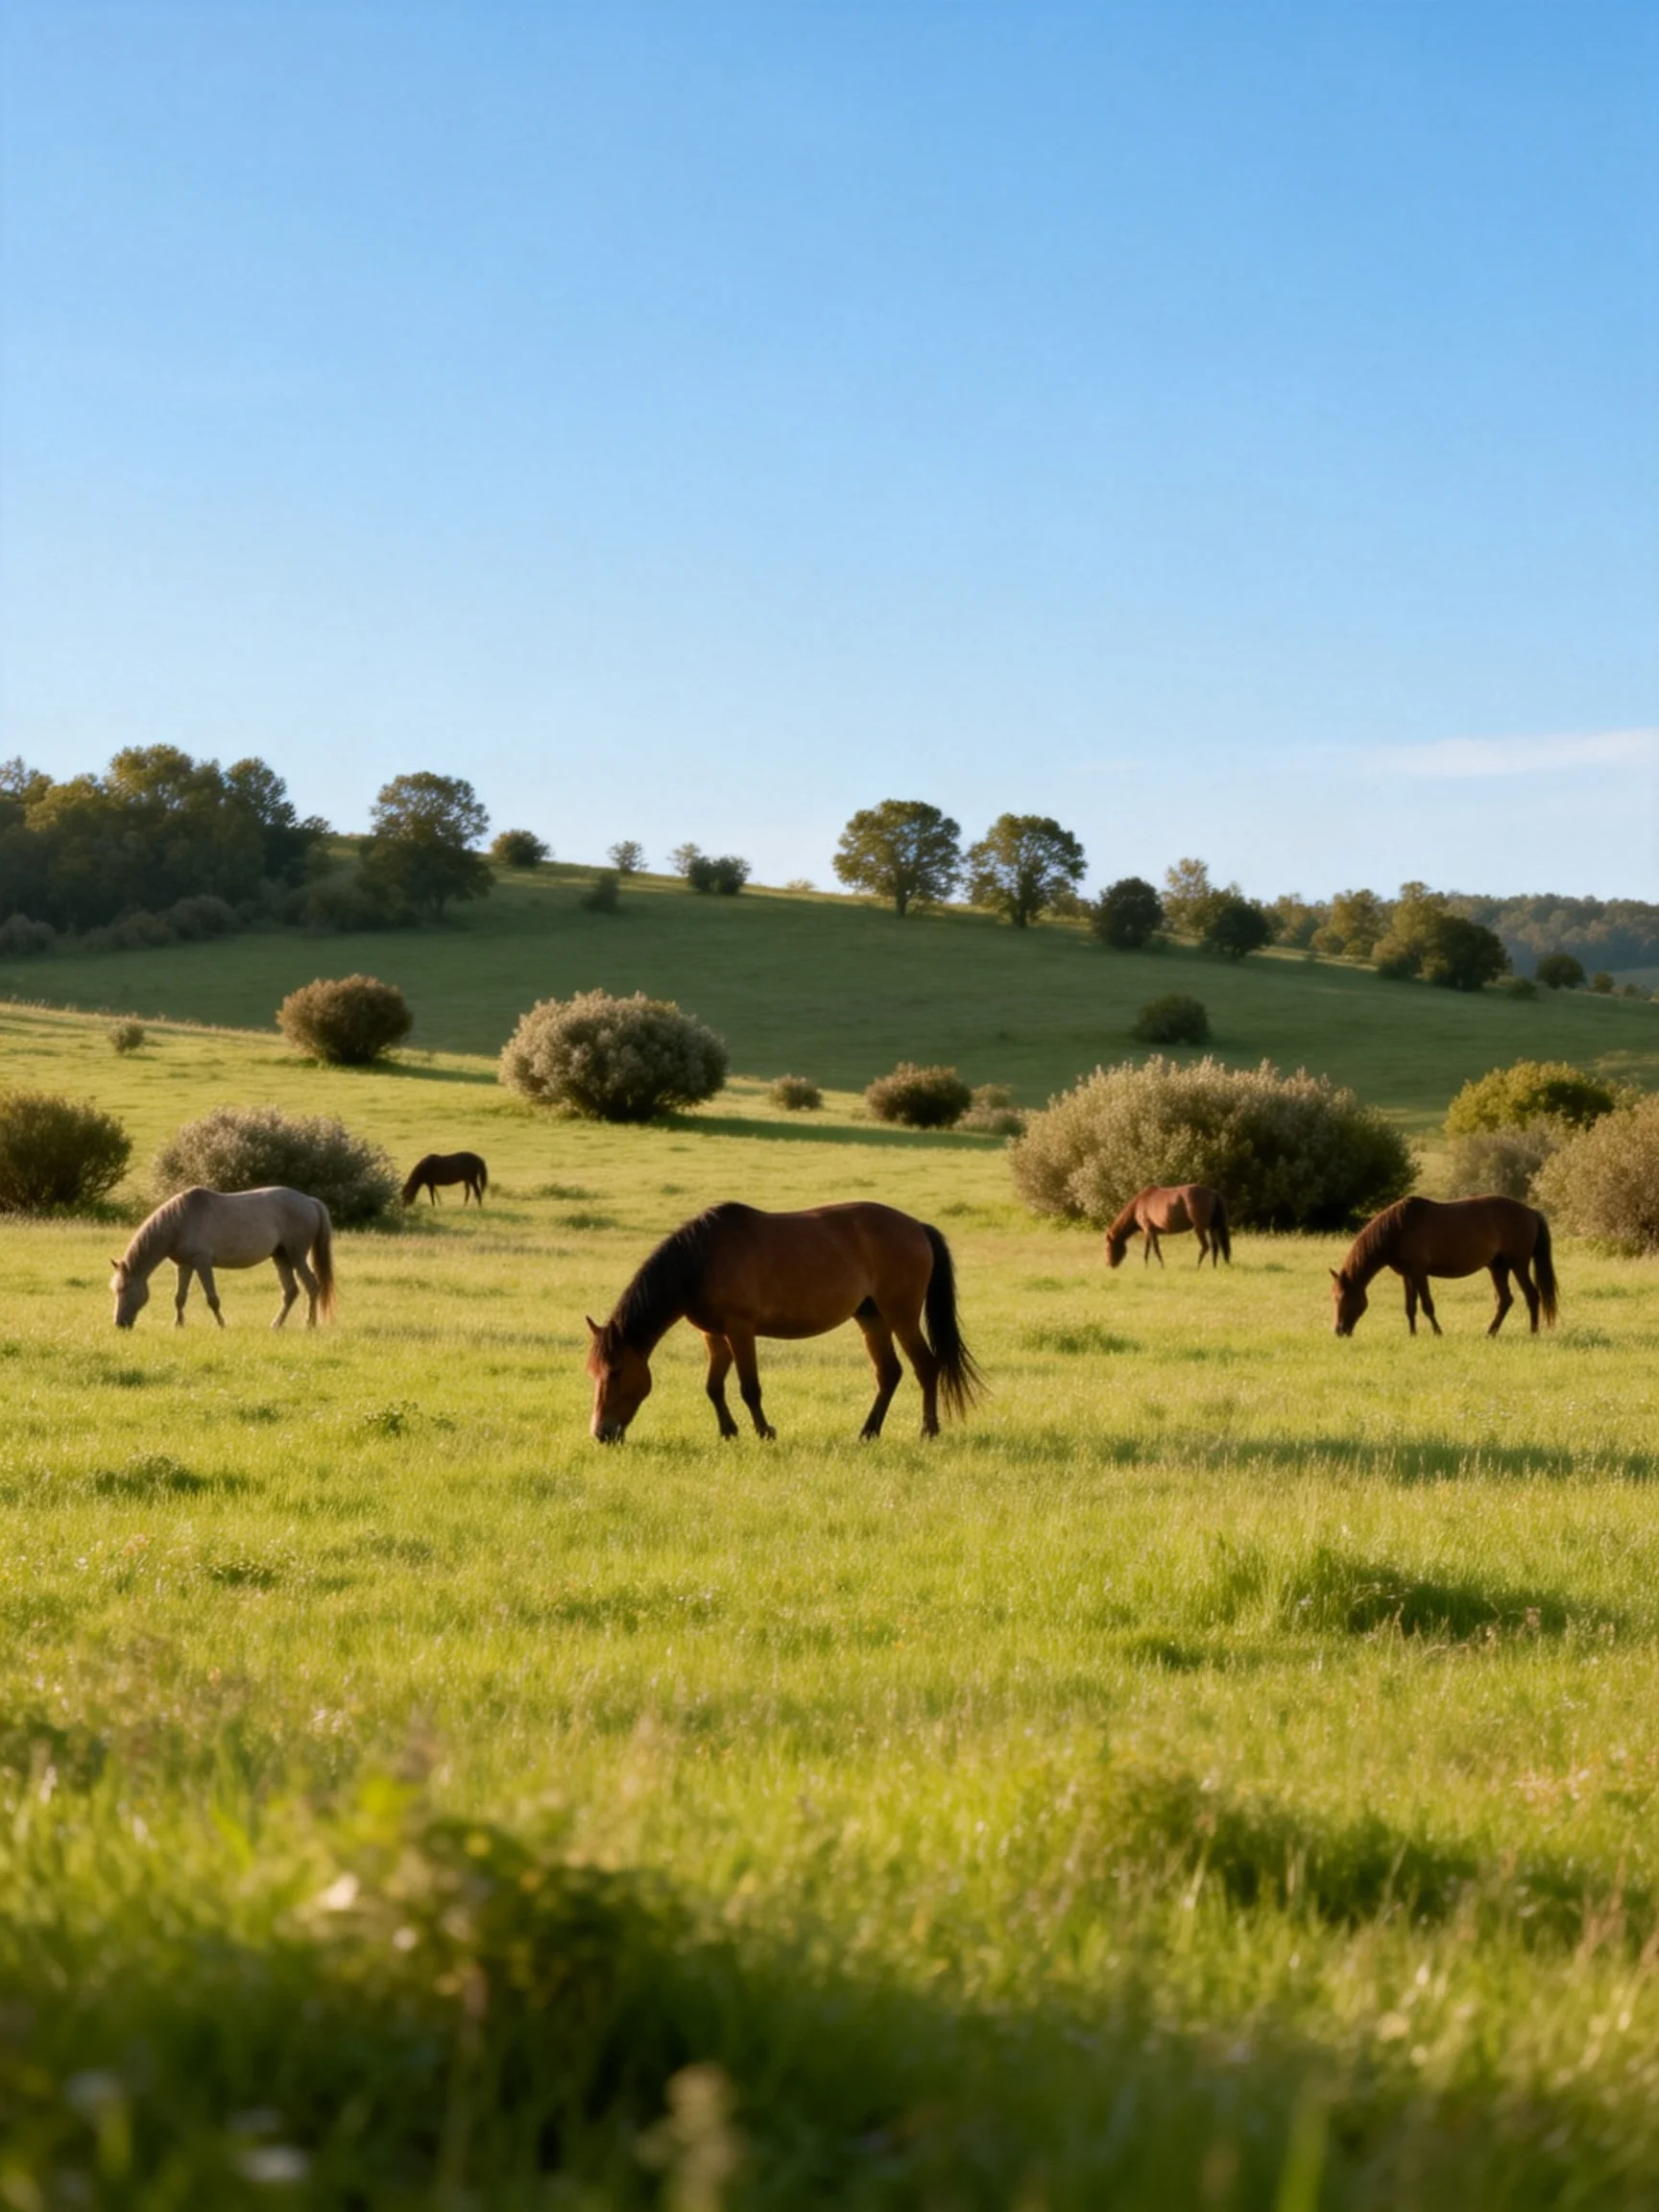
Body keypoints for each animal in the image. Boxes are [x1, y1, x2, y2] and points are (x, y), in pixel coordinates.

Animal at [111, 1186, 336, 1330]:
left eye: (125, 1289)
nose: (119, 1323)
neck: (180, 1221)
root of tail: (310, 1201)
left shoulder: (202, 1263)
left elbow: (212, 1298)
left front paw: (221, 1324)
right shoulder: (184, 1265)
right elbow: (179, 1298)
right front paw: (178, 1324)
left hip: (296, 1255)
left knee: (311, 1285)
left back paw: (310, 1324)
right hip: (281, 1257)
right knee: (290, 1292)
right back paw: (276, 1325)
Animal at [585, 1201, 981, 1443]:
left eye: (616, 1371)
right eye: (593, 1373)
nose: (601, 1433)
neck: (701, 1260)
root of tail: (917, 1227)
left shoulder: (740, 1329)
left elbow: (749, 1387)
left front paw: (765, 1431)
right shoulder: (713, 1335)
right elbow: (714, 1387)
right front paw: (728, 1431)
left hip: (901, 1314)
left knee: (926, 1366)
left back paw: (928, 1430)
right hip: (872, 1317)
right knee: (889, 1373)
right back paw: (868, 1431)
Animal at [1105, 1184, 1231, 1269]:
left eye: (1108, 1247)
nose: (1110, 1265)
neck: (1138, 1205)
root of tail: (1212, 1193)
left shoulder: (1148, 1230)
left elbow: (1151, 1249)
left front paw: (1153, 1266)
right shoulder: (1152, 1232)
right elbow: (1152, 1249)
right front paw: (1154, 1266)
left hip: (1199, 1228)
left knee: (1205, 1247)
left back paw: (1198, 1266)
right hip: (1212, 1227)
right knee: (1215, 1247)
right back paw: (1214, 1266)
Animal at [1330, 1195, 1557, 1338]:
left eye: (1344, 1298)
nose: (1339, 1331)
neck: (1398, 1229)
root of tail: (1531, 1212)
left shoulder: (1419, 1272)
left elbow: (1427, 1305)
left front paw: (1438, 1332)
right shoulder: (1407, 1275)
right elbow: (1410, 1307)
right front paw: (1412, 1334)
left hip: (1519, 1264)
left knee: (1532, 1295)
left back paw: (1533, 1332)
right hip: (1498, 1267)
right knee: (1505, 1300)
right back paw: (1490, 1333)